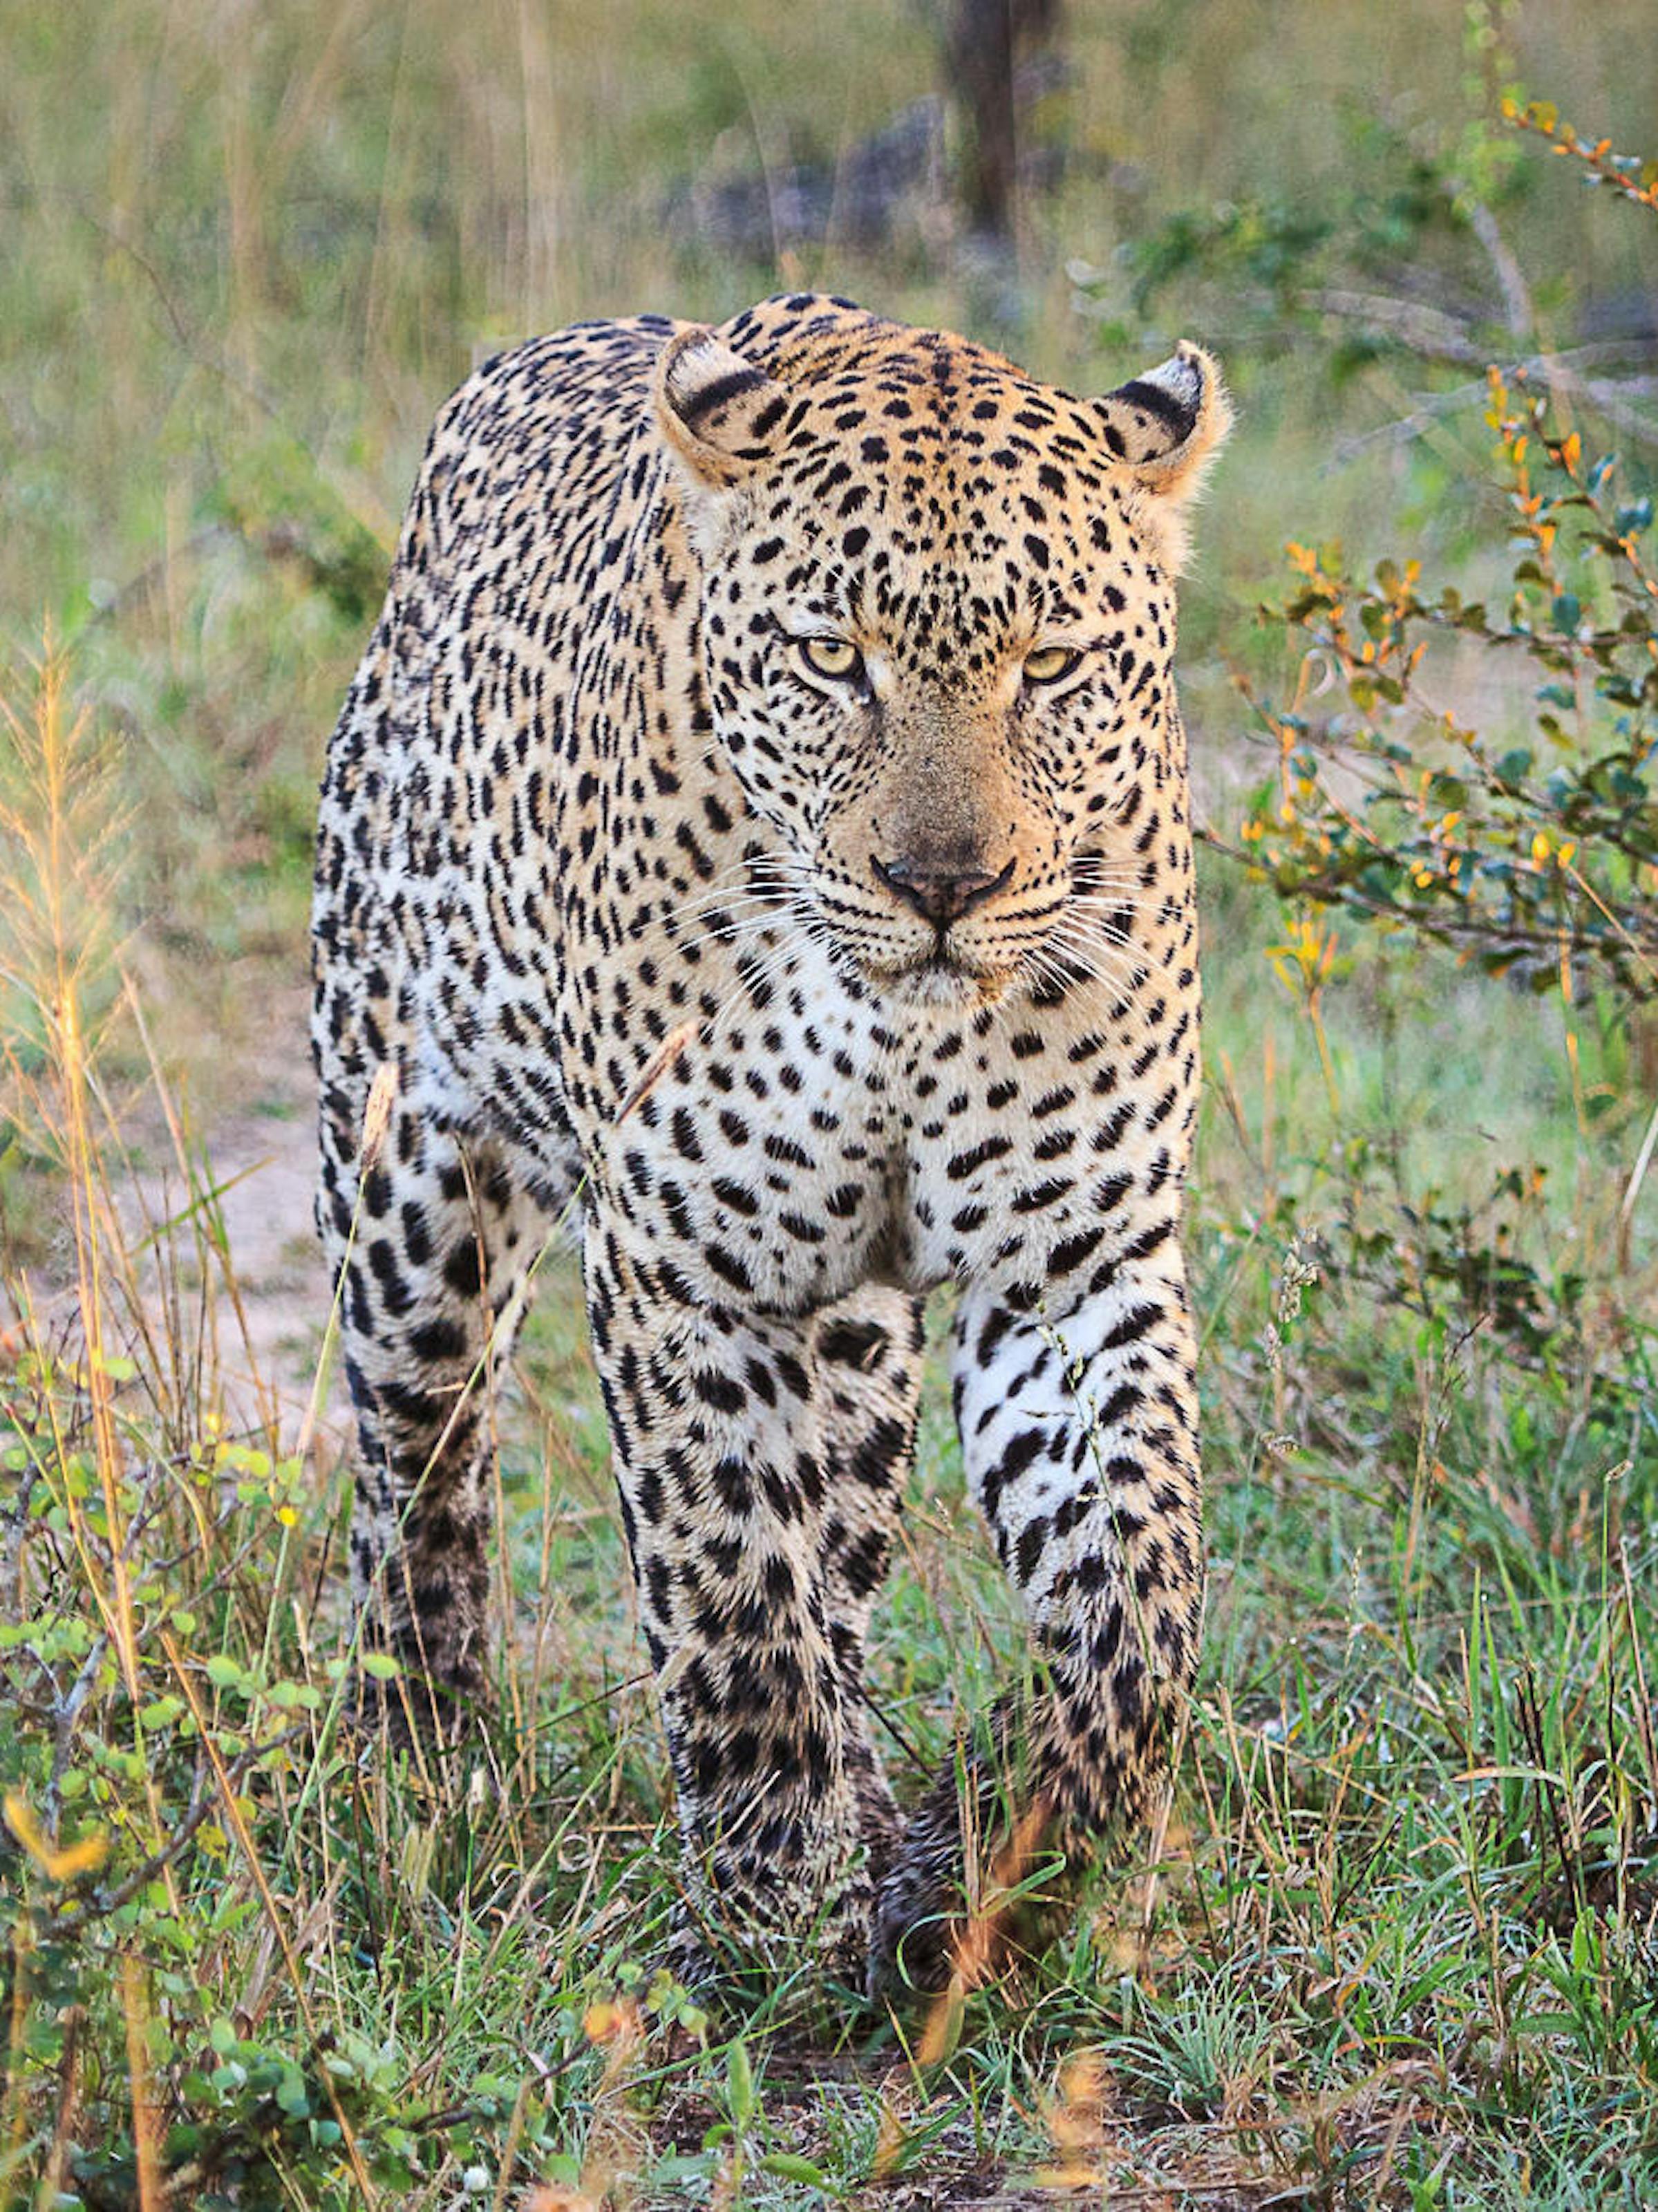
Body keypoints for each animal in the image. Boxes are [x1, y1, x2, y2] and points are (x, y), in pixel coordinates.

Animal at [311, 291, 1229, 1992]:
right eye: (829, 658)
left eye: (1050, 663)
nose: (941, 884)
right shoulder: (681, 1255)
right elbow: (729, 1580)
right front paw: (768, 1894)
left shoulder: (1070, 1268)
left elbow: (1135, 1590)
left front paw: (1040, 1855)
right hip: (405, 1188)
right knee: (424, 1480)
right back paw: (419, 1770)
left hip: (852, 1335)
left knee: (844, 1544)